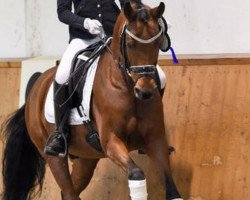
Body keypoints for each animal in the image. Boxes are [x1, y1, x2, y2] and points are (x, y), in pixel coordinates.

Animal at [1, 0, 182, 199]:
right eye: (130, 44)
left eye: (158, 43)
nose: (145, 91)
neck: (125, 86)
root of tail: (35, 90)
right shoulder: (111, 141)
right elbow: (136, 174)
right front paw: (93, 25)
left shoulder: (155, 140)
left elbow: (172, 188)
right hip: (52, 156)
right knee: (68, 190)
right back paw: (57, 142)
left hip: (86, 158)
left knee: (69, 191)